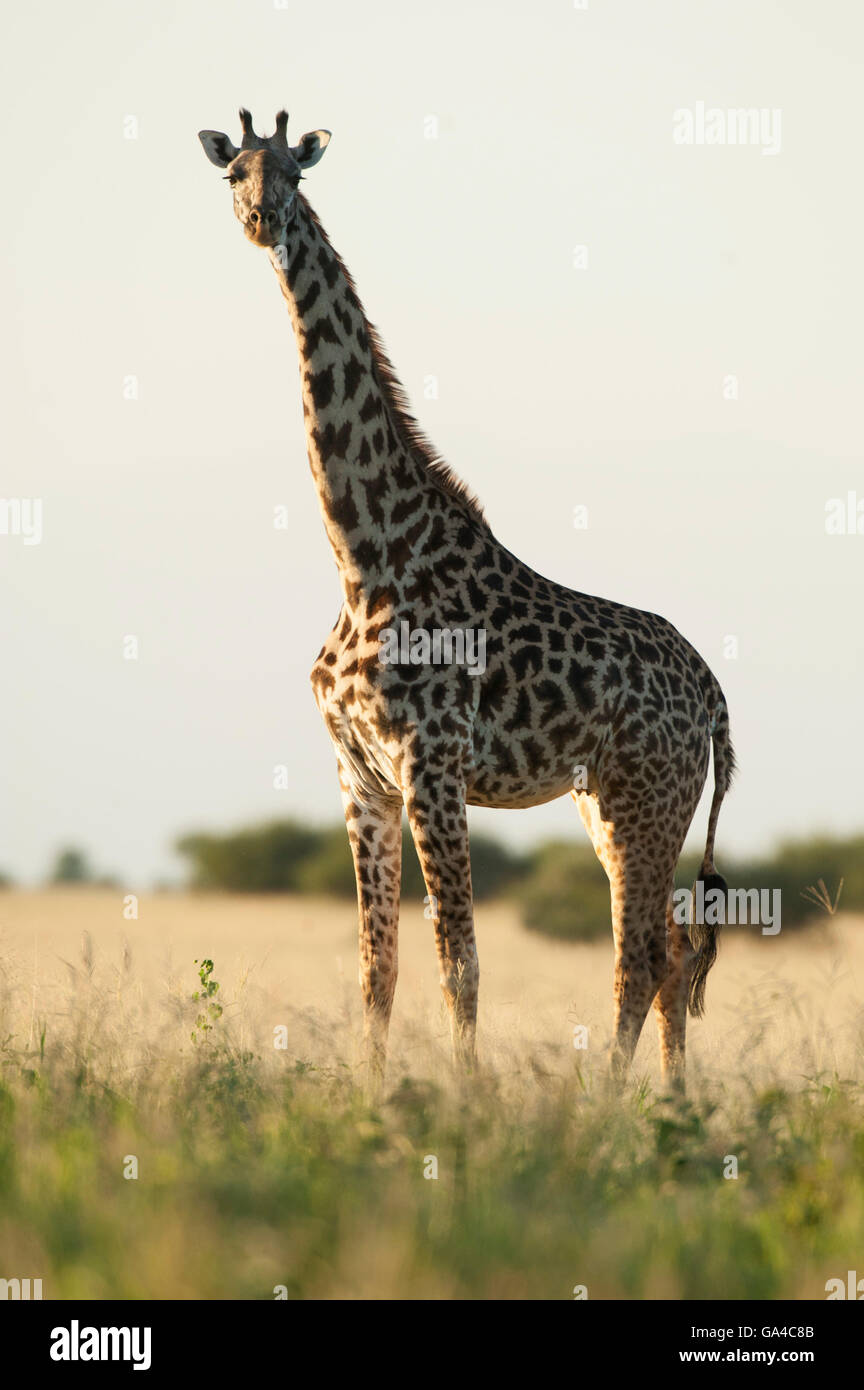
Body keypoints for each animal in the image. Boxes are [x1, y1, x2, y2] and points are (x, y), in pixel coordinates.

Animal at [200, 111, 733, 1084]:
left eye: (296, 174)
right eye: (235, 175)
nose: (263, 219)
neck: (363, 557)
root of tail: (714, 693)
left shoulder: (431, 762)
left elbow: (459, 959)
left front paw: (463, 1096)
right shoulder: (359, 773)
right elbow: (377, 964)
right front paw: (371, 1099)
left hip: (648, 800)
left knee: (640, 955)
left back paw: (608, 1106)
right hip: (613, 803)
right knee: (674, 952)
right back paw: (673, 1102)